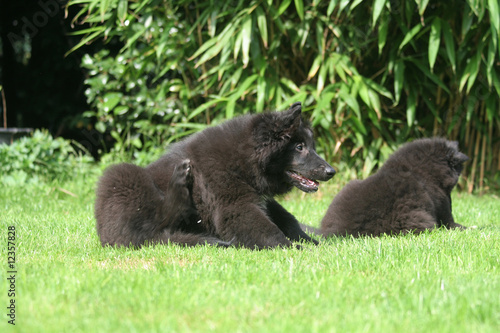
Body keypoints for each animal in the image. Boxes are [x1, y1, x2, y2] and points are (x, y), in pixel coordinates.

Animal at [94, 102, 336, 248]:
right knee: (147, 230)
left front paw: (314, 242)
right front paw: (294, 247)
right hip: (121, 175)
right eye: (299, 147)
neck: (243, 161)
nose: (331, 171)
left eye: (311, 146)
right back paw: (179, 182)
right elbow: (269, 231)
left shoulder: (260, 200)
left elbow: (288, 219)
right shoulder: (235, 206)